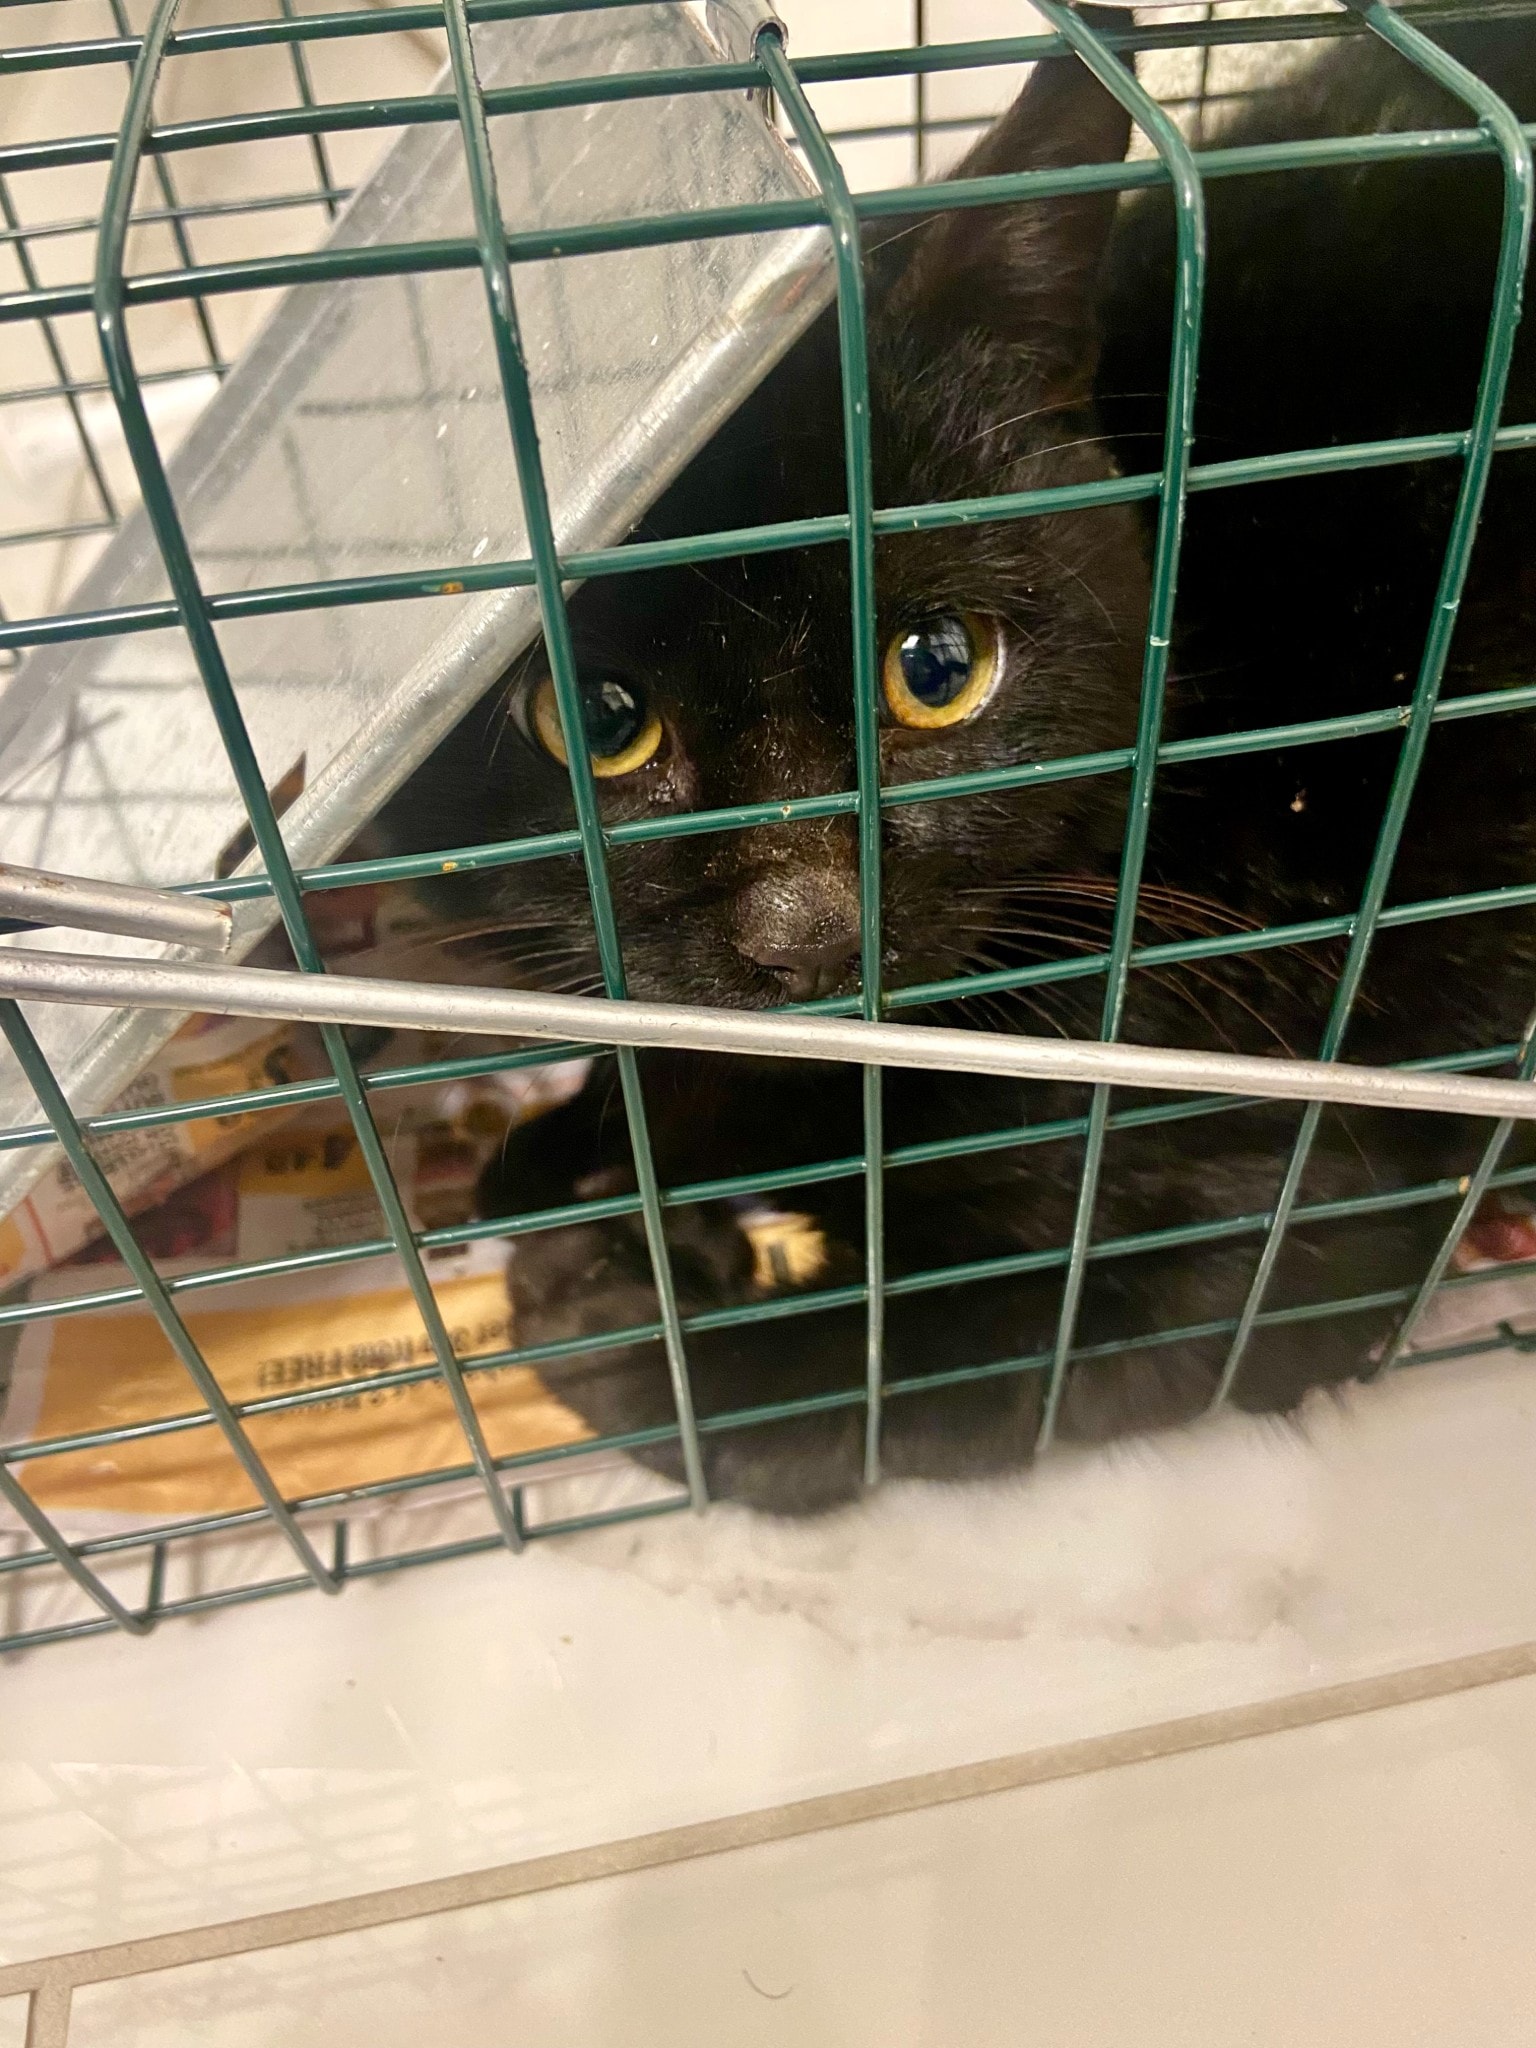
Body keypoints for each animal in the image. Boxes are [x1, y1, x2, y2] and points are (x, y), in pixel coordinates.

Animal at [372, 9, 1536, 1514]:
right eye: (599, 717)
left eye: (936, 667)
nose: (810, 922)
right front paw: (570, 1152)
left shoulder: (1308, 1181)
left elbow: (932, 1365)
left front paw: (635, 1325)